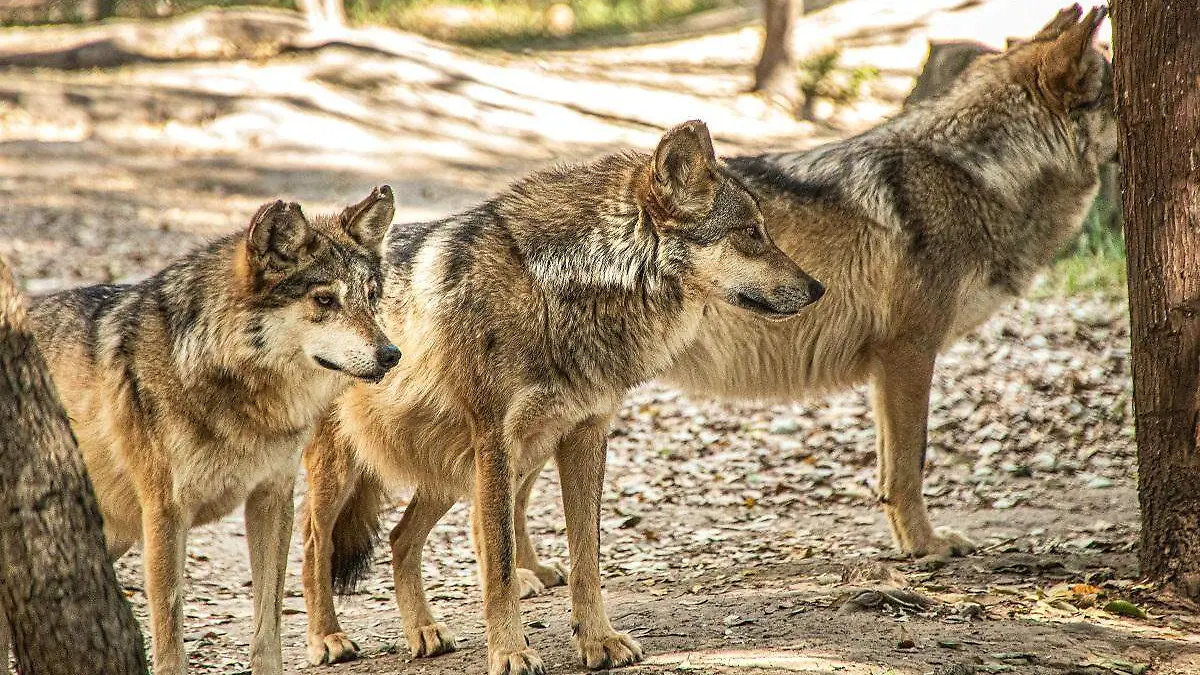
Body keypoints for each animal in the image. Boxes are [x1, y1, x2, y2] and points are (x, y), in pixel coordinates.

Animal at [20, 187, 399, 675]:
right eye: (324, 300)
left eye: (370, 296)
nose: (392, 354)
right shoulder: (166, 515)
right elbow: (169, 640)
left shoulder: (270, 499)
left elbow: (267, 628)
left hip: (111, 536)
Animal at [299, 120, 824, 674]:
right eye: (750, 233)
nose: (818, 289)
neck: (564, 285)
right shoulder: (495, 442)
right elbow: (501, 566)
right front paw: (511, 652)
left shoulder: (585, 435)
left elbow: (586, 557)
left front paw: (598, 640)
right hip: (353, 471)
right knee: (314, 545)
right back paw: (328, 638)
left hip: (463, 469)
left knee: (401, 539)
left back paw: (423, 631)